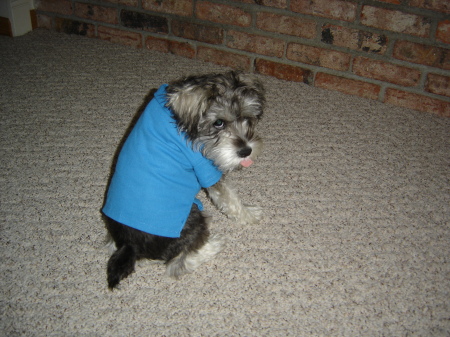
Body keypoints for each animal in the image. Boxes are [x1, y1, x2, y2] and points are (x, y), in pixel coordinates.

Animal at [102, 71, 264, 288]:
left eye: (247, 117)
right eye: (218, 122)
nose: (246, 151)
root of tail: (130, 245)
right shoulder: (205, 167)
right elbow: (230, 198)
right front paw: (249, 214)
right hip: (192, 216)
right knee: (177, 265)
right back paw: (213, 245)